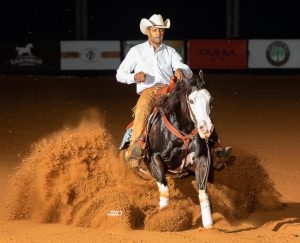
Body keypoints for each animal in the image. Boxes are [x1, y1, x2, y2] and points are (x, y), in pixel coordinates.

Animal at [119, 73, 216, 229]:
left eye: (210, 99)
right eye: (191, 100)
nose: (206, 128)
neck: (183, 133)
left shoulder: (203, 159)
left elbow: (202, 191)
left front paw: (208, 224)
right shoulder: (155, 159)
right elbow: (164, 189)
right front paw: (164, 219)